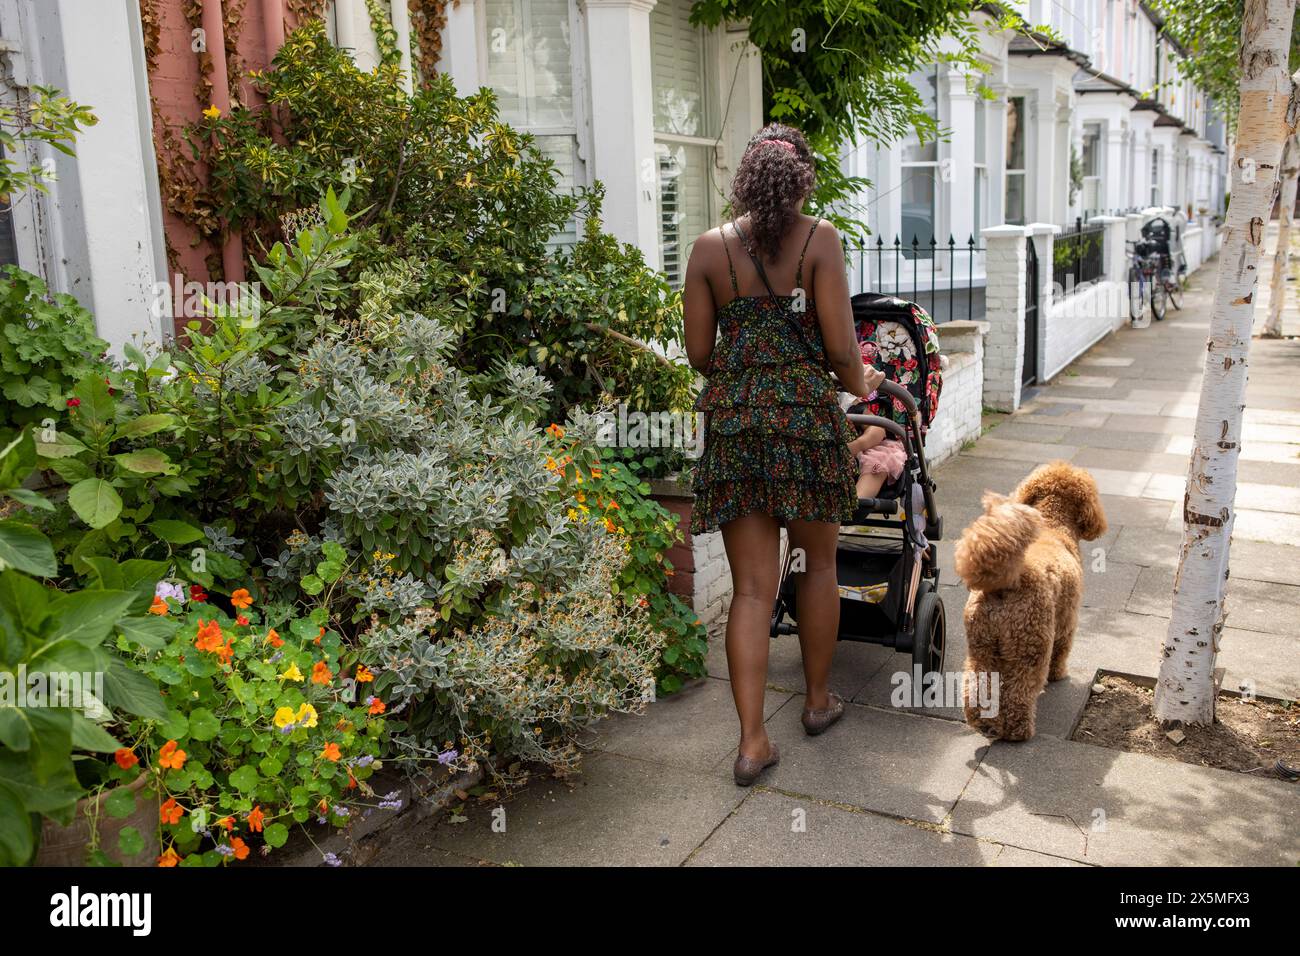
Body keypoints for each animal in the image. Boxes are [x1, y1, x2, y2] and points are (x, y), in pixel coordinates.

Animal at [956, 463, 1107, 738]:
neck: (1053, 524)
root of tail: (1007, 583)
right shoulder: (1066, 621)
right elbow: (1062, 650)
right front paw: (1058, 674)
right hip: (1029, 647)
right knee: (1020, 691)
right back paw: (1018, 730)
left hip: (981, 645)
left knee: (976, 685)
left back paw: (983, 722)